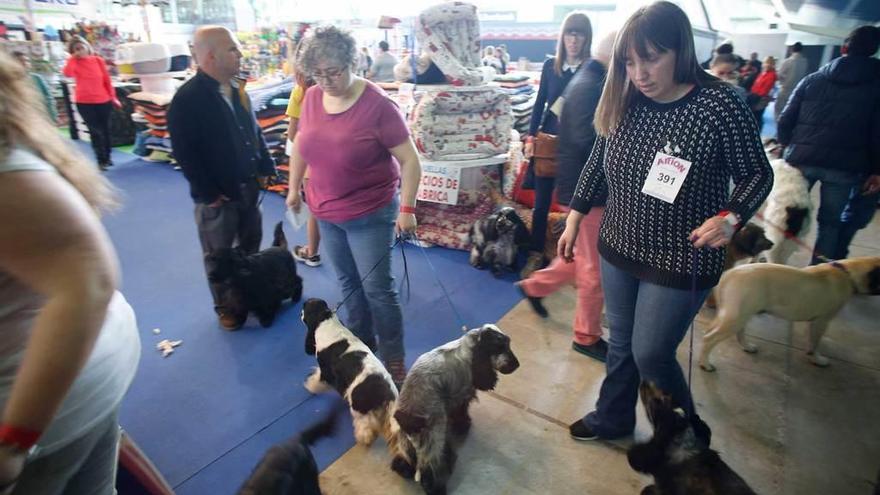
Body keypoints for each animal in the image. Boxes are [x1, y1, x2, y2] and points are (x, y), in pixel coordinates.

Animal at [700, 258, 880, 370]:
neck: (847, 273)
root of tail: (728, 275)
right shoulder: (822, 320)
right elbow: (816, 342)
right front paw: (817, 359)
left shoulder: (815, 321)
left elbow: (811, 339)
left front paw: (811, 353)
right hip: (736, 317)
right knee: (709, 338)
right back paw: (705, 364)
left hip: (740, 313)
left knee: (733, 332)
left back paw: (747, 347)